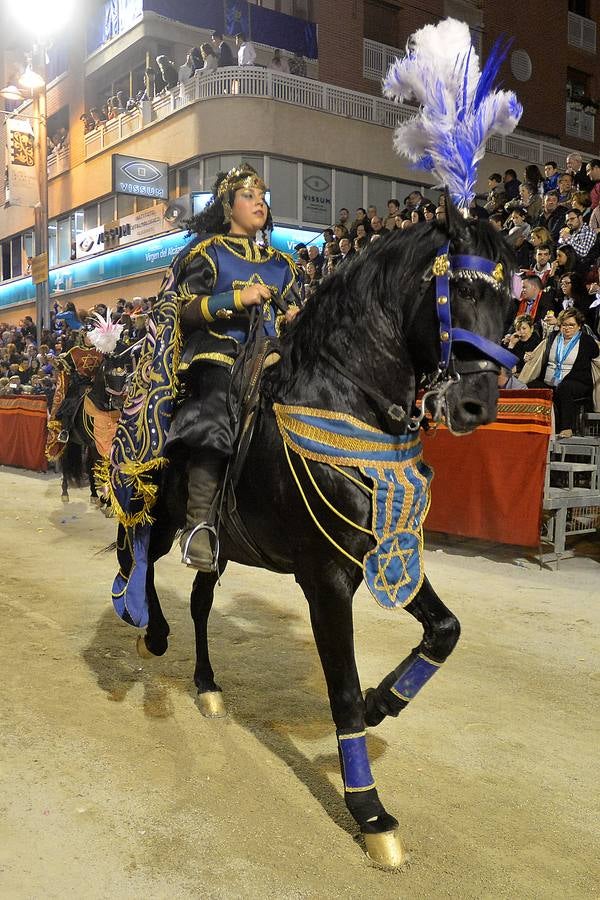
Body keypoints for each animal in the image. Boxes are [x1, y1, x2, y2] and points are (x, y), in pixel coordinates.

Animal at [61, 354, 130, 506]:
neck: (103, 409)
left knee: (89, 466)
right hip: (67, 442)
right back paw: (65, 493)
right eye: (108, 375)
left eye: (124, 375)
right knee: (65, 462)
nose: (118, 402)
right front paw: (107, 501)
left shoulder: (106, 444)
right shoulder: (95, 445)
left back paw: (93, 494)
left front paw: (107, 500)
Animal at [134, 204, 512, 864]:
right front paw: (371, 813)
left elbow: (445, 630)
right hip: (159, 517)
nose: (477, 405)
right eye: (461, 291)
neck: (346, 404)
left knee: (201, 602)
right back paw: (148, 629)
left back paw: (207, 685)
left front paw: (384, 702)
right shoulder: (327, 579)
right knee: (135, 558)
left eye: (512, 302)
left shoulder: (386, 553)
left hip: (218, 547)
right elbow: (342, 688)